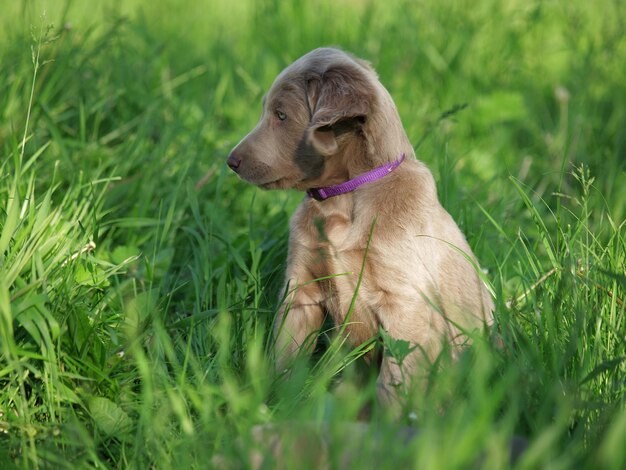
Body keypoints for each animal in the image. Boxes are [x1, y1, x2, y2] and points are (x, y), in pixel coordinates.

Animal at [225, 47, 492, 406]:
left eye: (281, 115)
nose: (231, 161)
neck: (344, 199)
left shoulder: (405, 304)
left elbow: (395, 379)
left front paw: (388, 419)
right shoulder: (301, 288)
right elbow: (285, 353)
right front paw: (274, 401)